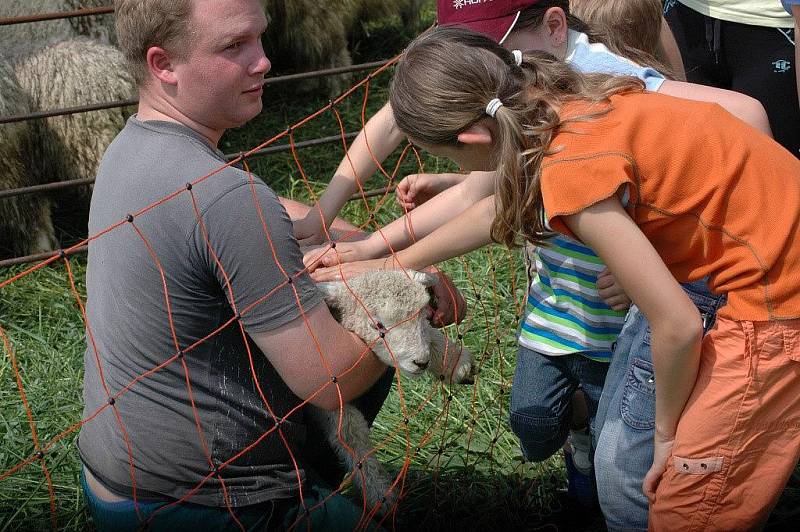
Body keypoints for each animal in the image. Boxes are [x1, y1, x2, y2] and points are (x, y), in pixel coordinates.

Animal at [308, 270, 476, 512]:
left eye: (422, 316)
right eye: (378, 326)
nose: (421, 362)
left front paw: (456, 362)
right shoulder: (323, 382)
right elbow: (350, 430)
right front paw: (379, 490)